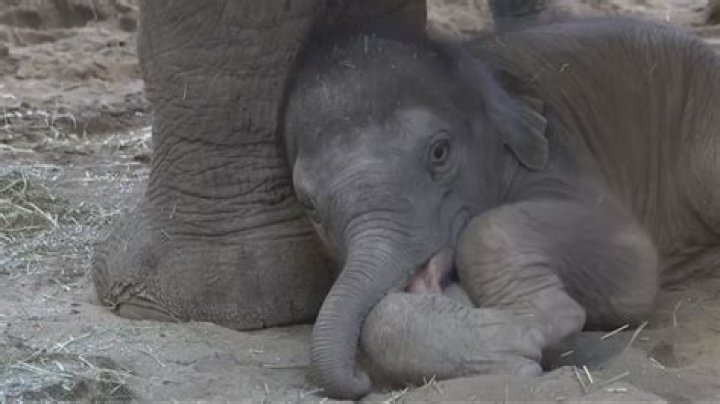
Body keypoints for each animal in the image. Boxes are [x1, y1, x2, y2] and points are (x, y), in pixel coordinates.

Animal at [282, 17, 720, 398]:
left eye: (439, 152)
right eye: (309, 205)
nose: (360, 382)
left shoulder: (557, 154)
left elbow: (635, 265)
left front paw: (545, 318)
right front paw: (509, 346)